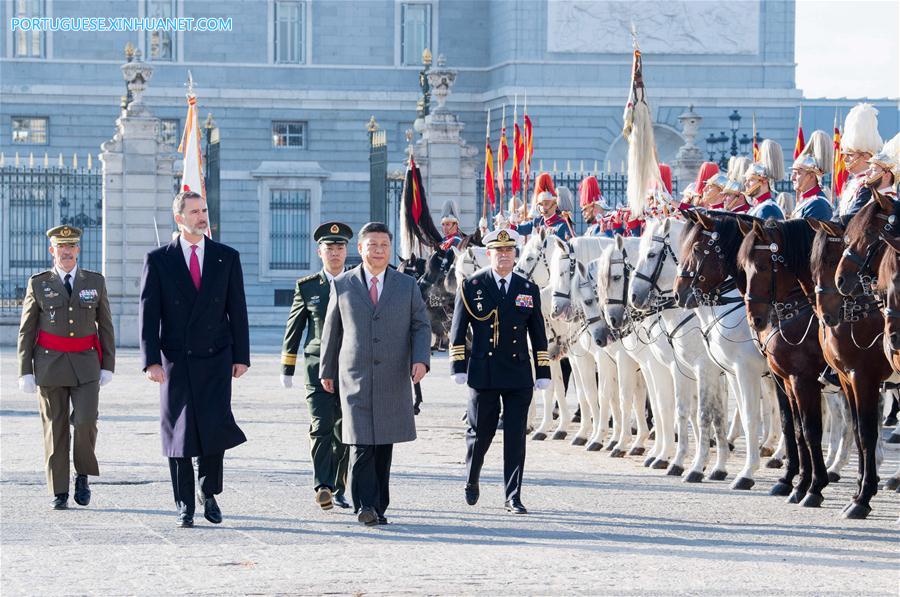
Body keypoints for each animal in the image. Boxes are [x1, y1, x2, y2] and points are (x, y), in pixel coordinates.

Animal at [676, 212, 800, 496]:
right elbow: (740, 414)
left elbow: (748, 417)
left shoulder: (745, 371)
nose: (679, 294)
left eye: (696, 249)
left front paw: (744, 473)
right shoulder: (731, 372)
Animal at [804, 218, 888, 516]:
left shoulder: (864, 378)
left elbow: (866, 432)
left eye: (830, 259)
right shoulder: (846, 378)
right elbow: (857, 431)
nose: (825, 314)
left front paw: (862, 498)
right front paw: (860, 490)